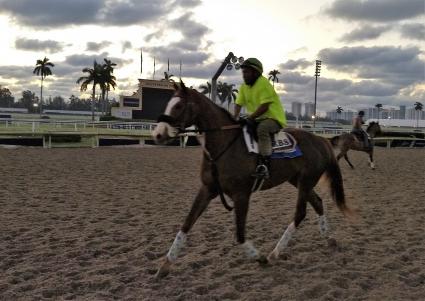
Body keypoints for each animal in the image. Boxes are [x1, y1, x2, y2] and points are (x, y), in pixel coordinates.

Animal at [152, 81, 352, 276]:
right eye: (169, 103)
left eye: (178, 106)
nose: (158, 134)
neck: (225, 145)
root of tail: (321, 140)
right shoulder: (208, 189)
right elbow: (186, 224)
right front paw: (165, 265)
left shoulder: (241, 194)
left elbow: (240, 235)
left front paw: (260, 257)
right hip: (298, 181)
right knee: (317, 202)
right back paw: (329, 238)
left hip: (306, 181)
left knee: (300, 213)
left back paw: (274, 253)